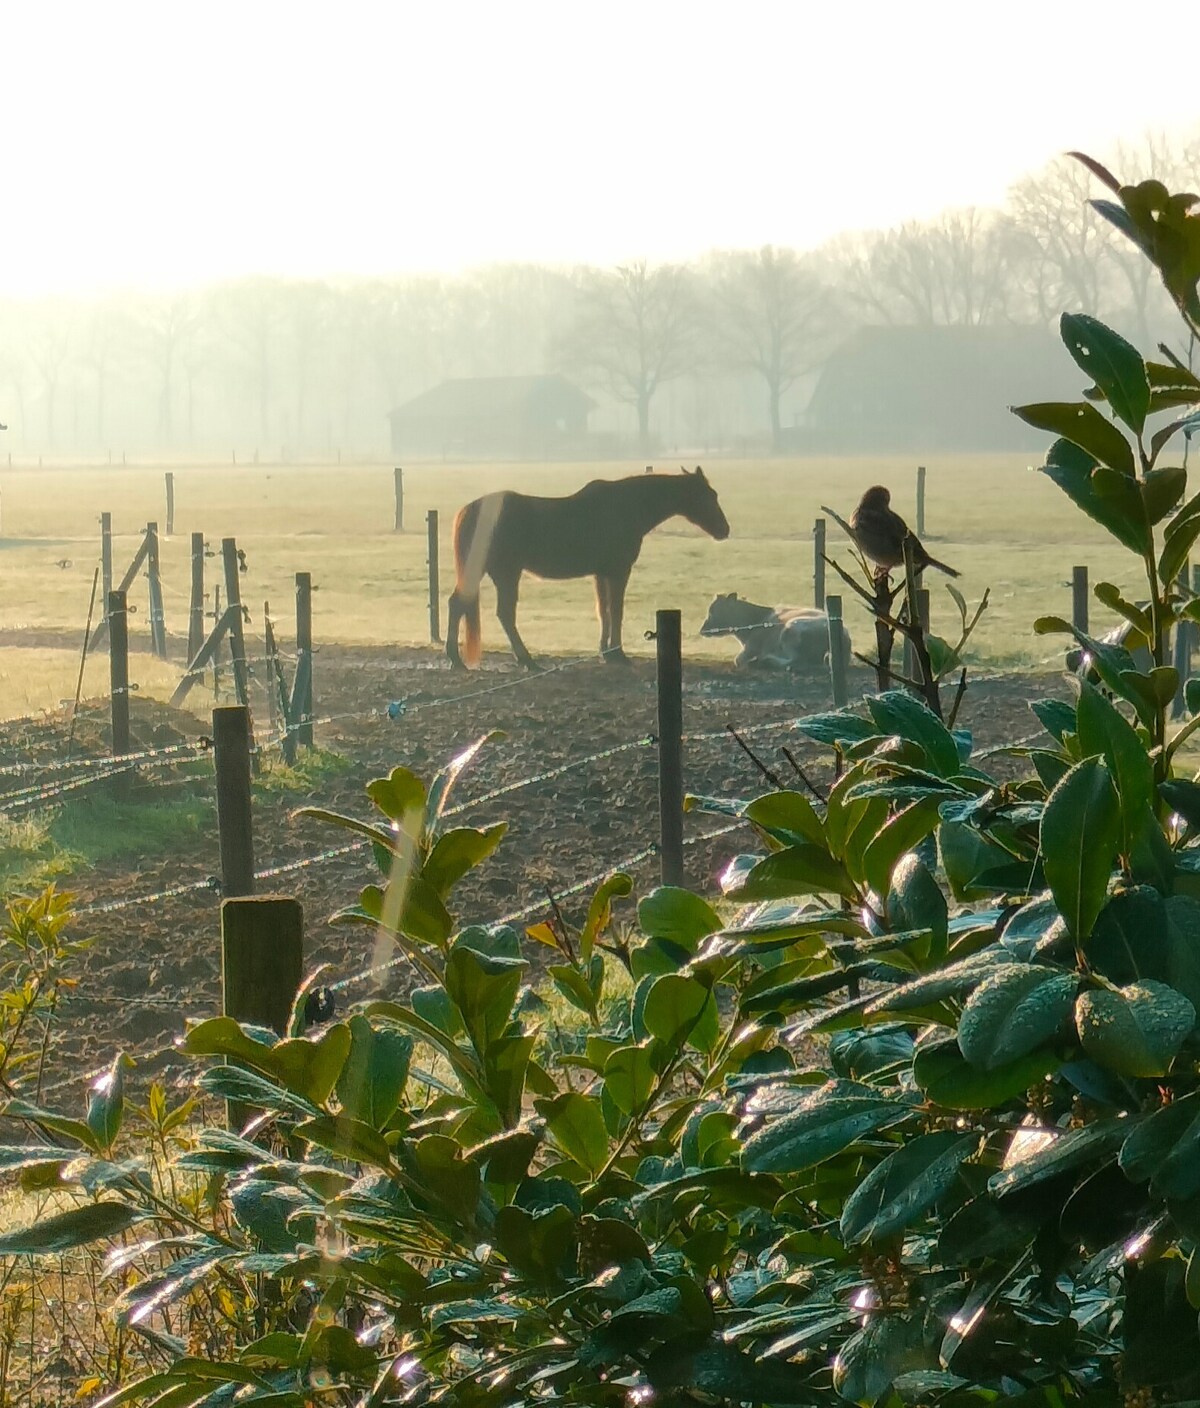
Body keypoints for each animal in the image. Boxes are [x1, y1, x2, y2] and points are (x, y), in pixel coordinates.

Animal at [447, 467, 732, 670]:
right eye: (708, 496)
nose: (724, 530)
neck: (626, 508)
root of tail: (470, 510)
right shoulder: (618, 571)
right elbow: (616, 611)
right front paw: (618, 653)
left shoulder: (601, 574)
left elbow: (603, 611)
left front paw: (605, 652)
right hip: (506, 574)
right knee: (502, 613)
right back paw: (524, 660)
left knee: (460, 604)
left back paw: (459, 658)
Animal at [698, 585, 850, 667]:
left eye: (713, 612)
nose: (702, 630)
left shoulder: (752, 647)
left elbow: (738, 660)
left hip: (791, 630)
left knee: (795, 660)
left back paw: (765, 661)